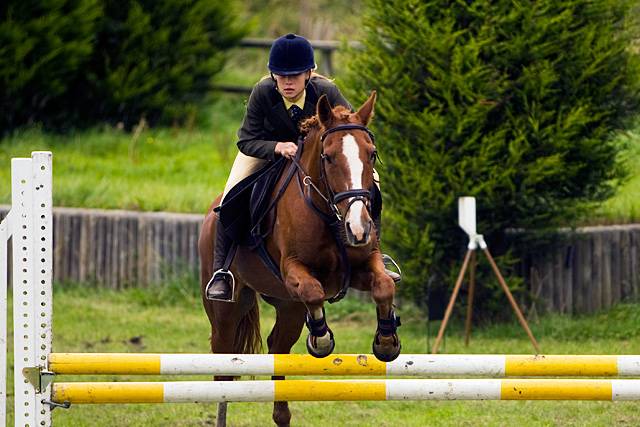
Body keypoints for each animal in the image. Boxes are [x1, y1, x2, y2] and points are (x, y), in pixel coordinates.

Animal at [198, 92, 402, 426]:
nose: (358, 228)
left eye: (371, 154)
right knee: (223, 363)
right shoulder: (294, 269)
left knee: (278, 346)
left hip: (288, 306)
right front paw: (322, 341)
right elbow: (313, 291)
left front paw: (386, 341)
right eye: (328, 157)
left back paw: (282, 414)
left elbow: (384, 285)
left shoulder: (363, 265)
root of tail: (209, 215)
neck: (330, 215)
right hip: (226, 310)